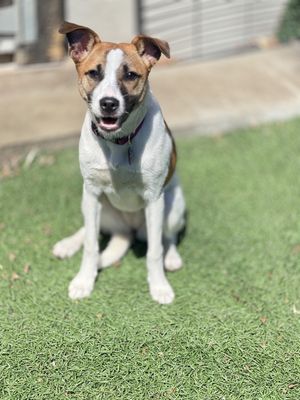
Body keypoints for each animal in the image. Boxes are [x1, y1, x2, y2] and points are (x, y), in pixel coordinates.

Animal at [53, 21, 185, 304]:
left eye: (131, 75)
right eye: (94, 73)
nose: (108, 103)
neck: (119, 141)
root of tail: (128, 230)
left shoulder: (154, 199)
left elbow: (154, 250)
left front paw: (159, 287)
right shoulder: (92, 192)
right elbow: (91, 245)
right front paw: (84, 281)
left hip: (173, 205)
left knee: (167, 238)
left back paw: (172, 258)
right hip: (94, 204)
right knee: (88, 230)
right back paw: (68, 244)